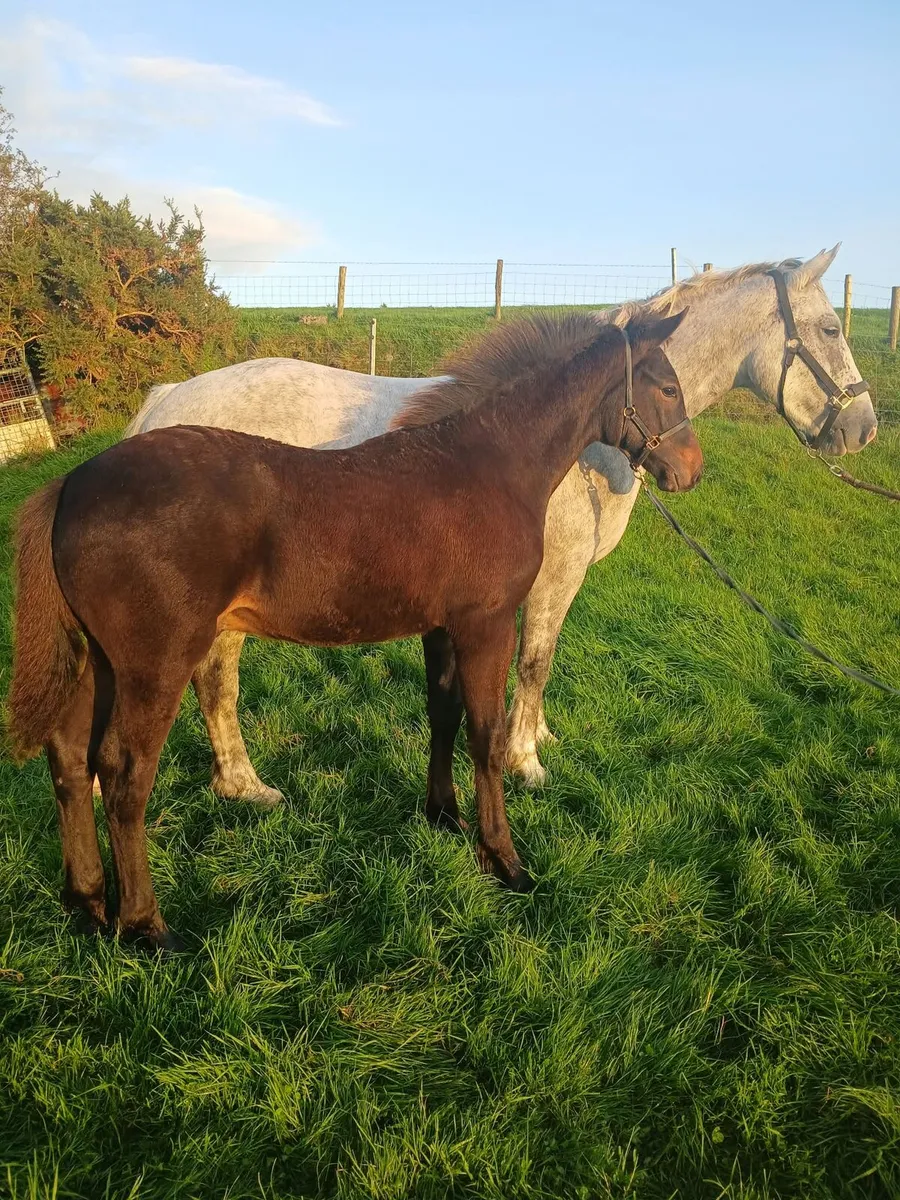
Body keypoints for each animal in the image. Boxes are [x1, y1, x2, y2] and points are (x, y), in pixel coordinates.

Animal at [9, 311, 703, 951]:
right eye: (668, 387)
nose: (690, 471)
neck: (487, 465)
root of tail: (71, 484)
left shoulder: (441, 627)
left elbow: (443, 713)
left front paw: (444, 817)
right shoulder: (487, 623)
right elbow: (485, 736)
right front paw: (505, 862)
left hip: (104, 662)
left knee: (70, 754)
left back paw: (86, 901)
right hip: (154, 663)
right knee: (124, 774)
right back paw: (146, 925)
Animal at [126, 245, 877, 802]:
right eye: (831, 329)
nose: (864, 430)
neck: (570, 441)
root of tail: (166, 402)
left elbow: (542, 661)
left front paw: (537, 738)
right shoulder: (548, 579)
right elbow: (535, 660)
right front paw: (524, 763)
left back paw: (241, 787)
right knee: (214, 677)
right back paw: (245, 784)